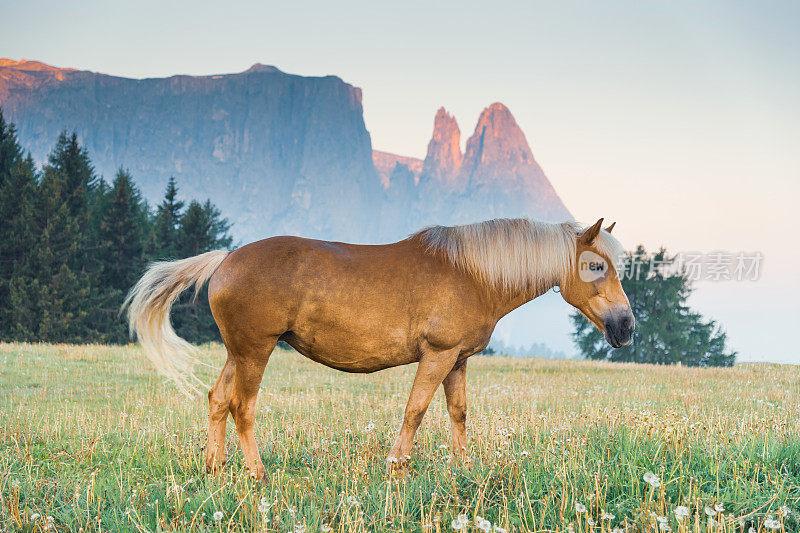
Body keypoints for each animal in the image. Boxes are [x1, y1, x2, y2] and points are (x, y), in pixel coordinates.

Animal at [125, 216, 636, 478]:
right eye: (595, 266)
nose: (626, 326)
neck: (472, 273)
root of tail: (227, 258)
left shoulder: (457, 361)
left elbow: (458, 414)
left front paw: (464, 468)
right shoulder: (437, 356)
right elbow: (415, 410)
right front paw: (397, 465)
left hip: (237, 352)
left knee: (216, 400)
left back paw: (214, 469)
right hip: (255, 351)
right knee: (241, 407)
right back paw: (257, 474)